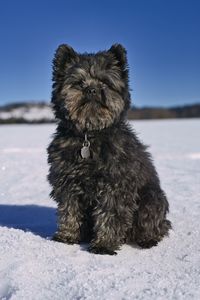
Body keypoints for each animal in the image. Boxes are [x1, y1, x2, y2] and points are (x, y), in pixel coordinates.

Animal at [47, 43, 171, 254]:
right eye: (79, 83)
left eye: (105, 82)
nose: (92, 89)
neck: (90, 134)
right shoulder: (67, 182)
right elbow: (69, 211)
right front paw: (67, 236)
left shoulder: (115, 185)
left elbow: (110, 215)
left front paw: (104, 244)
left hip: (151, 199)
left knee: (155, 225)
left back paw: (147, 239)